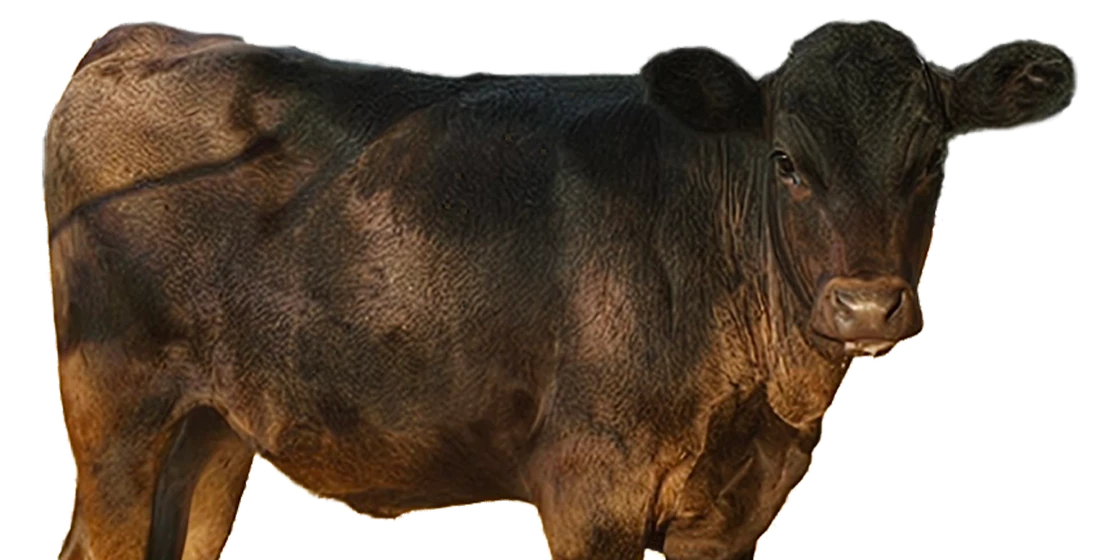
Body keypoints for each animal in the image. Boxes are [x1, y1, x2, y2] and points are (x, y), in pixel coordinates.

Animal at [45, 20, 1074, 560]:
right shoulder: (593, 489)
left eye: (928, 160)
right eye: (787, 162)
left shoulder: (734, 512)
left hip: (214, 427)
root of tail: (142, 38)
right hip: (117, 415)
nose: (864, 304)